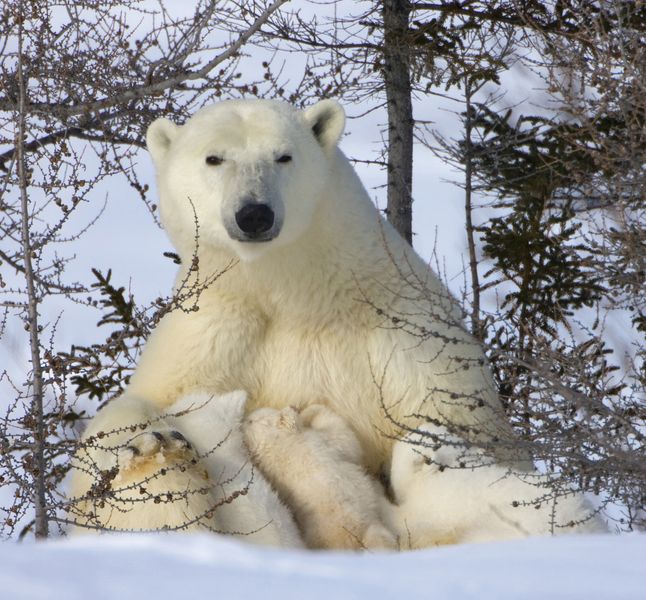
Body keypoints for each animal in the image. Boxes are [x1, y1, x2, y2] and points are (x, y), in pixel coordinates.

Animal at [243, 404, 398, 548]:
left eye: (250, 420)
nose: (243, 420)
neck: (273, 446)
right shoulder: (318, 442)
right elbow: (344, 437)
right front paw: (306, 411)